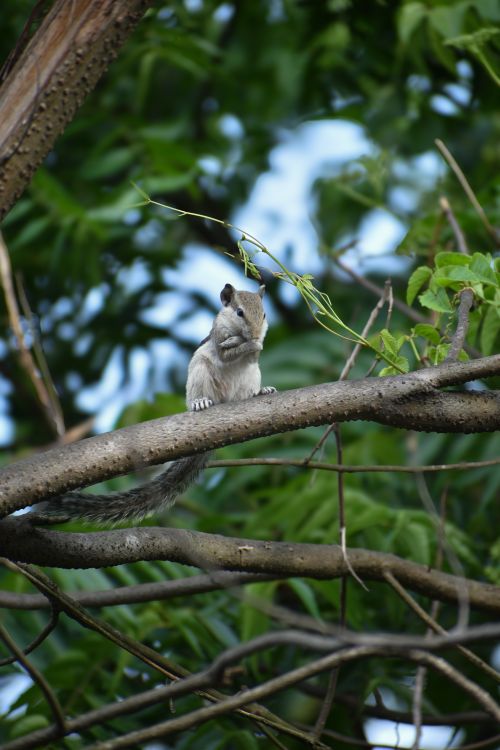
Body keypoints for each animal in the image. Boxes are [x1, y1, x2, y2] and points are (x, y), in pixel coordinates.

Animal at [33, 282, 276, 524]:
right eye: (239, 312)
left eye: (264, 314)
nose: (255, 333)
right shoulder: (217, 337)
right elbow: (226, 352)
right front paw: (241, 342)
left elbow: (254, 353)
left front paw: (255, 343)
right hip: (200, 372)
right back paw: (201, 402)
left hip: (252, 376)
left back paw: (260, 392)